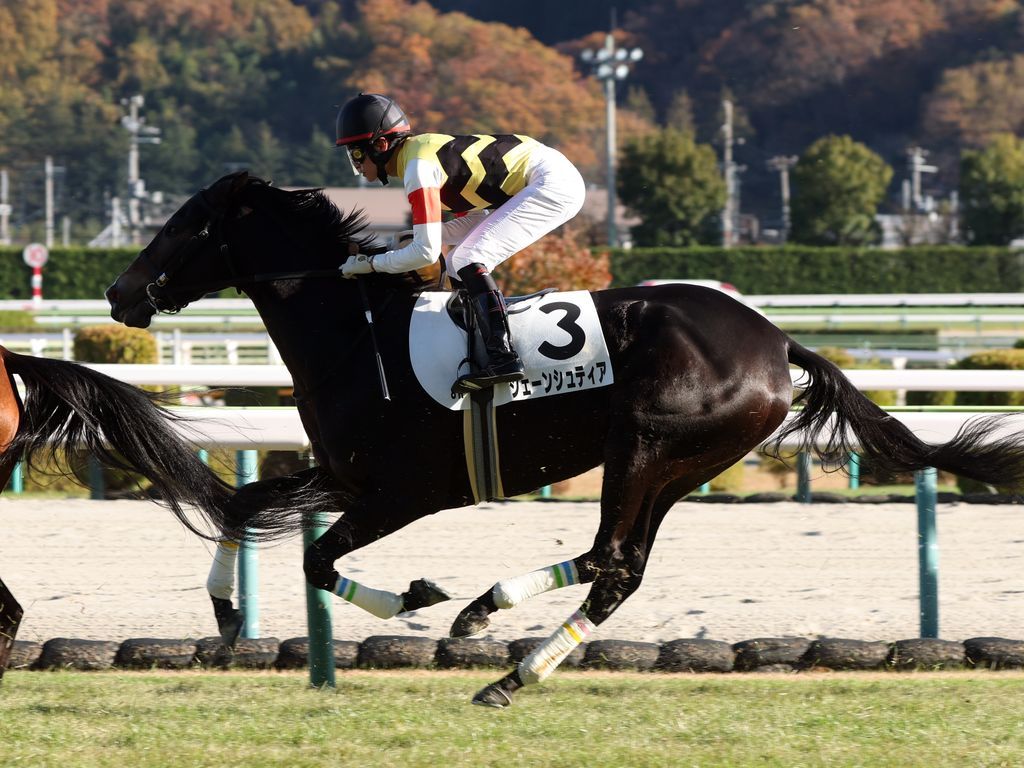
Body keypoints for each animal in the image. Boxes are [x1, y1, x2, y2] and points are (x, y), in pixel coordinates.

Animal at [104, 170, 1024, 707]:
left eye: (188, 225)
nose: (118, 293)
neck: (356, 334)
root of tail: (776, 340)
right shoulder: (347, 476)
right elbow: (243, 504)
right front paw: (226, 612)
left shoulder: (406, 491)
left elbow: (318, 560)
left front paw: (415, 596)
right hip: (677, 463)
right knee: (619, 565)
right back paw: (502, 641)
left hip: (649, 445)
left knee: (612, 557)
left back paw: (500, 643)